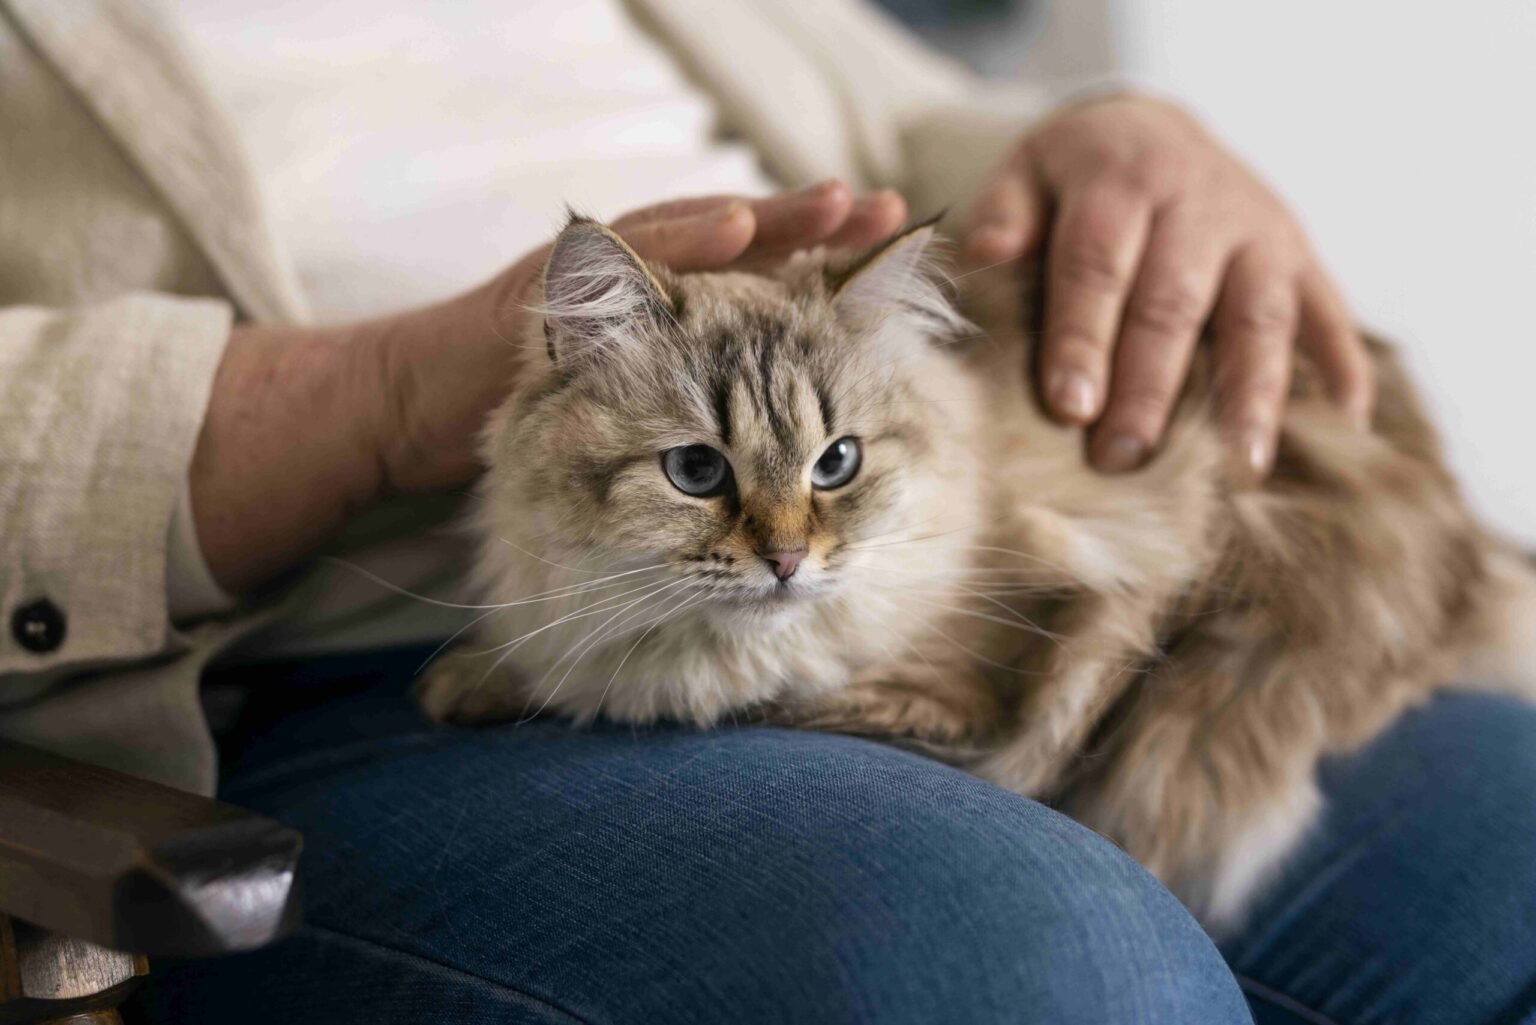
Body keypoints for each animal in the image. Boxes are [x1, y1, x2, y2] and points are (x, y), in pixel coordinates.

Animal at [417, 215, 1536, 928]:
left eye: (837, 463)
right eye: (697, 471)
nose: (786, 560)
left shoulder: (1009, 659)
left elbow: (753, 691)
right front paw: (471, 679)